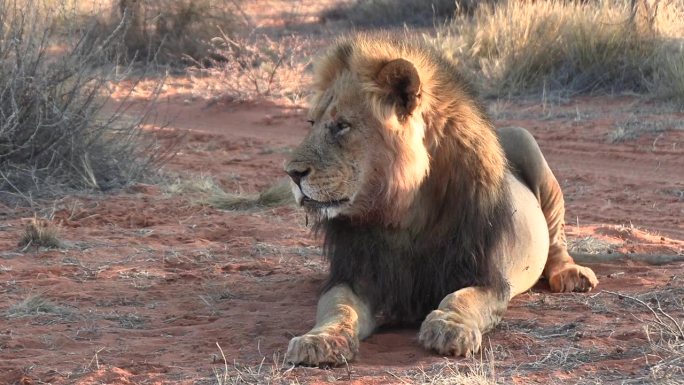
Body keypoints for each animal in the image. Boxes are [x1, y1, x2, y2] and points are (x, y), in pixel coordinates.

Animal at [284, 33, 600, 366]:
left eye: (342, 125)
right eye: (311, 123)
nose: (291, 173)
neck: (402, 215)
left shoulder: (487, 277)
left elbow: (460, 298)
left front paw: (449, 328)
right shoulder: (355, 276)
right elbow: (338, 308)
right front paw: (318, 341)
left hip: (528, 143)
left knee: (557, 241)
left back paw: (571, 275)